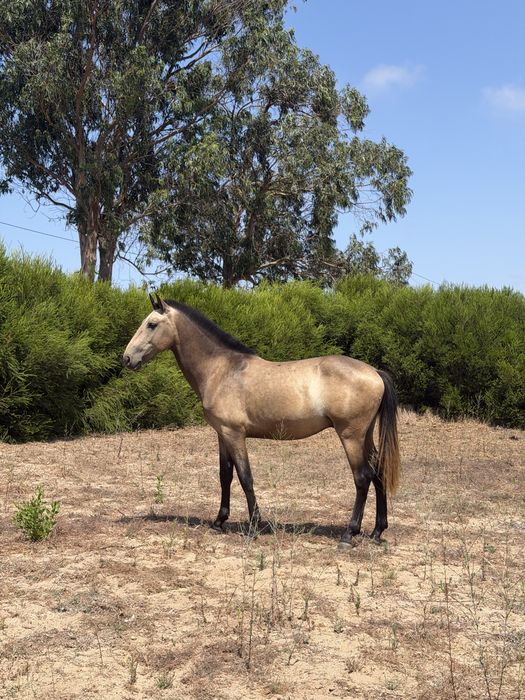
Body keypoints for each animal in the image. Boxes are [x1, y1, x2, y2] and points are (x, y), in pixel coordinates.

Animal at [123, 294, 400, 549]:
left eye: (151, 324)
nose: (127, 358)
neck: (222, 370)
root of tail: (375, 372)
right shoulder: (222, 434)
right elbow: (225, 476)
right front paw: (219, 522)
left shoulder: (234, 434)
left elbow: (246, 477)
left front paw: (254, 526)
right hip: (365, 436)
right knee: (378, 472)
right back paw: (377, 532)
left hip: (350, 435)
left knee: (362, 478)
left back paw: (348, 535)